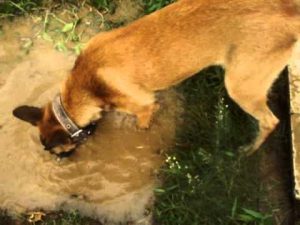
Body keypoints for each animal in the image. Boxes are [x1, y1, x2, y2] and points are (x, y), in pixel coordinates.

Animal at [12, 0, 300, 156]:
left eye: (55, 150)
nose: (58, 161)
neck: (87, 84)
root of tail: (289, 13)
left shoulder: (143, 106)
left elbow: (141, 122)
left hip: (240, 86)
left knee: (270, 122)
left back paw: (249, 150)